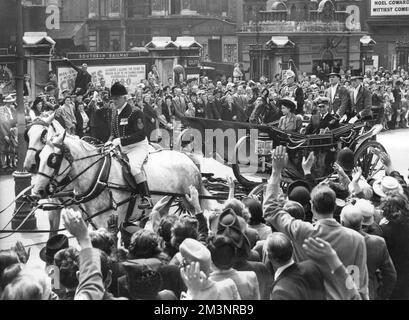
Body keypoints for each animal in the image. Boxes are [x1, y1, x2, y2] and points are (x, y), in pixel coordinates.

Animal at [31, 131, 217, 231]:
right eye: (40, 156)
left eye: (53, 159)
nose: (37, 191)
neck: (100, 176)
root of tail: (188, 158)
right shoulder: (95, 224)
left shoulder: (110, 222)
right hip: (164, 203)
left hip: (188, 200)